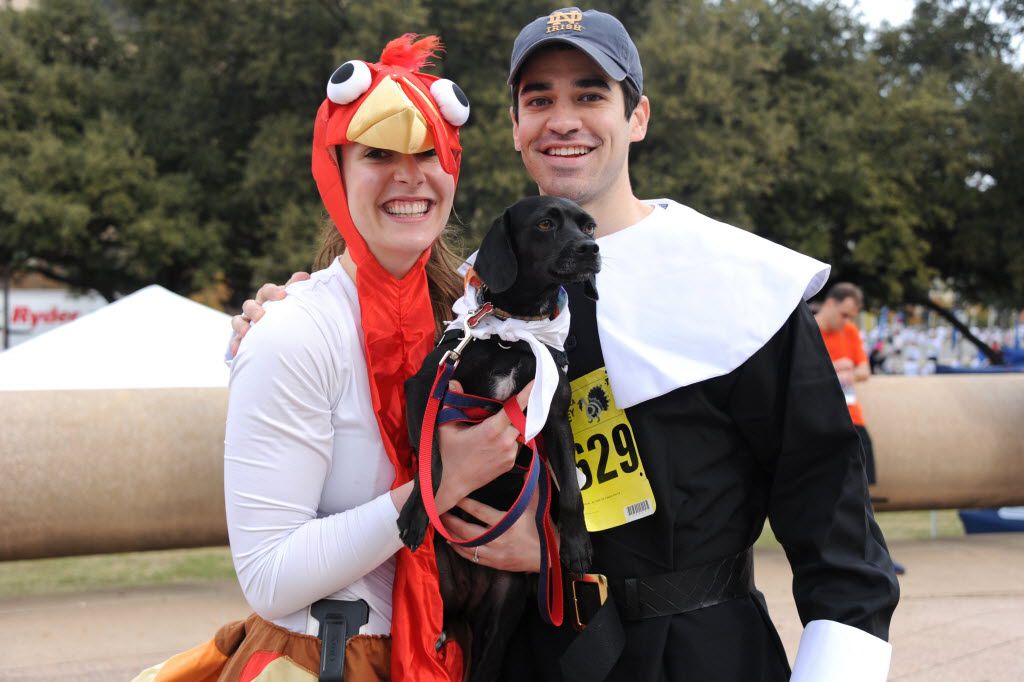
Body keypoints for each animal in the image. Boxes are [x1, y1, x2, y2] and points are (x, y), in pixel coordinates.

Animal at [393, 193, 598, 675]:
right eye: (545, 224)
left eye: (589, 226)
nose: (591, 250)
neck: (515, 335)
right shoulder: (426, 387)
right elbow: (431, 461)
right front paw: (416, 513)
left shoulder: (554, 417)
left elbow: (570, 490)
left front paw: (575, 545)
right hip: (442, 601)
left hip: (502, 615)